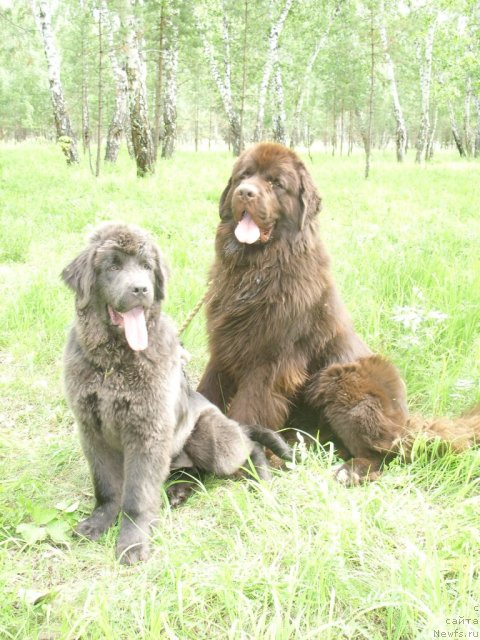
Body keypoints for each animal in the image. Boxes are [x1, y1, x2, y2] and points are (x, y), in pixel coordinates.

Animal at [62, 222, 292, 564]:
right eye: (112, 266)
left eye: (147, 267)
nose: (140, 290)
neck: (114, 364)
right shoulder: (92, 428)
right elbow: (106, 485)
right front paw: (99, 522)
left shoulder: (146, 431)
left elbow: (136, 495)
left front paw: (132, 543)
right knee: (196, 471)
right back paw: (179, 491)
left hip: (210, 435)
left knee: (248, 446)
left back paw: (260, 477)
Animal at [198, 142, 480, 482]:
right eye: (244, 175)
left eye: (276, 183)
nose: (245, 193)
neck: (256, 270)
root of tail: (406, 421)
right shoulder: (225, 348)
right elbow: (207, 392)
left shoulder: (269, 362)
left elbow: (249, 409)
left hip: (342, 377)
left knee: (387, 454)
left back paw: (348, 471)